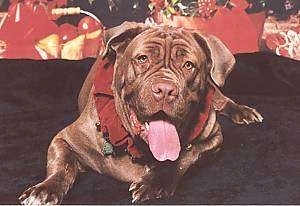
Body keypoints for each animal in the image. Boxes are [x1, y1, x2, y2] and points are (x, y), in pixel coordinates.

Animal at [19, 21, 262, 204]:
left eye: (188, 65)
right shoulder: (66, 139)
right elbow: (62, 165)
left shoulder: (213, 138)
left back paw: (243, 111)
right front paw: (44, 190)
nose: (165, 90)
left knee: (222, 98)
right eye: (142, 58)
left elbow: (186, 156)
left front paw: (155, 182)